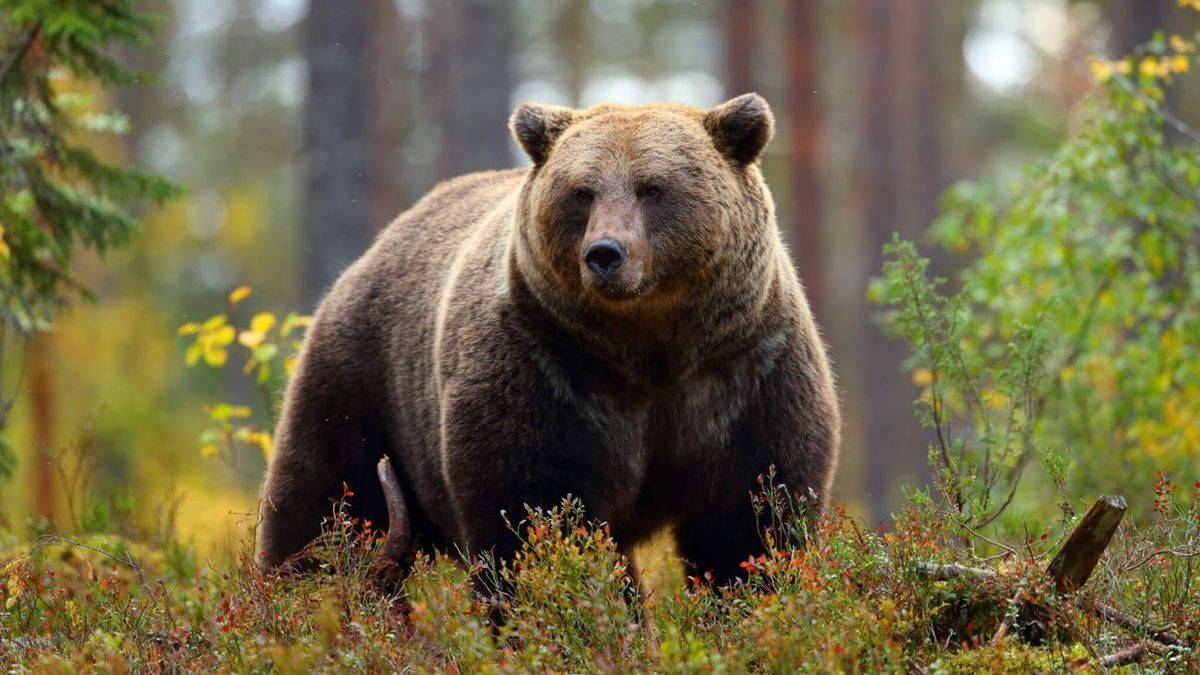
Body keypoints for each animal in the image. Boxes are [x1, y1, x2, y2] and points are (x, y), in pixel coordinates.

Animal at [258, 91, 840, 581]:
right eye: (582, 192)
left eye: (652, 188)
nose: (605, 253)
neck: (652, 349)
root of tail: (375, 248)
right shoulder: (545, 367)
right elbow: (534, 512)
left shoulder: (746, 372)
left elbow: (751, 522)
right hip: (363, 380)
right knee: (325, 504)